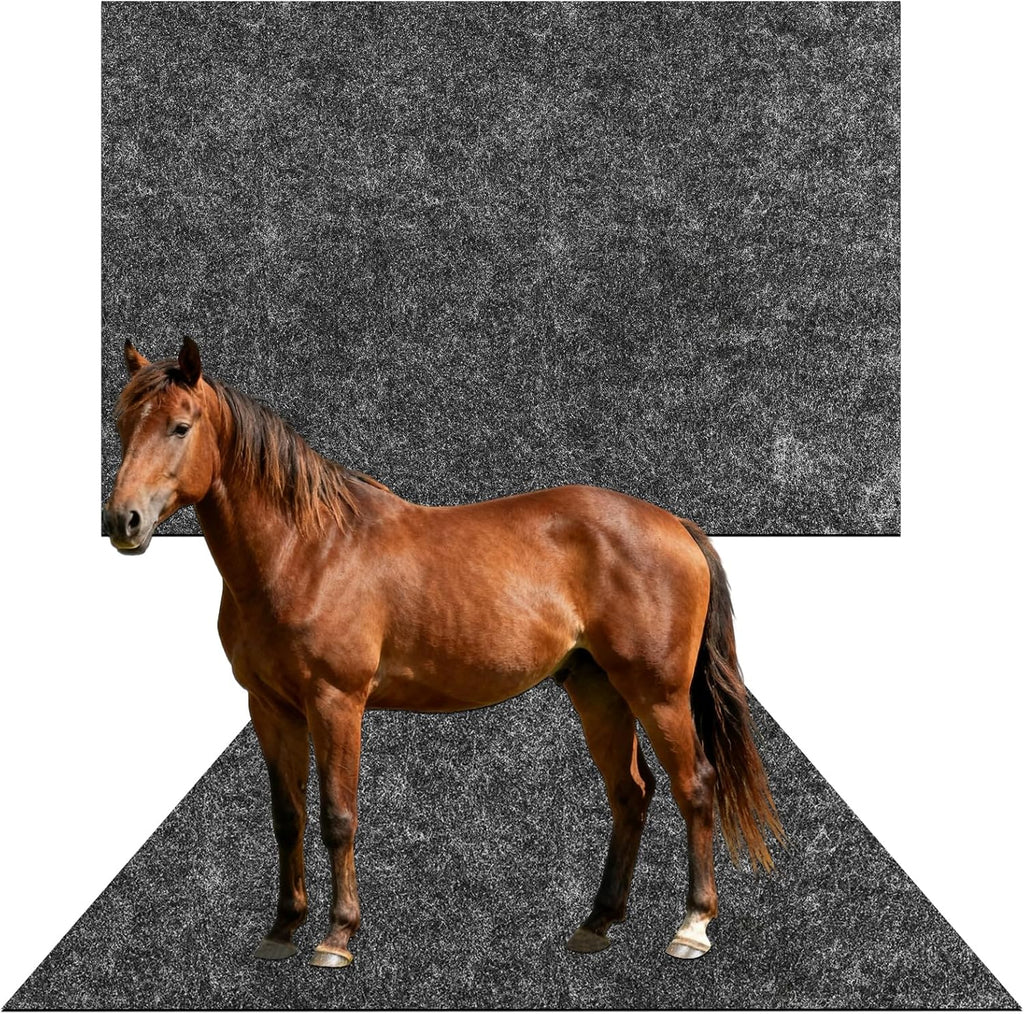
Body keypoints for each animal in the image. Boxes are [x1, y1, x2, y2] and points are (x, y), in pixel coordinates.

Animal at [103, 338, 783, 968]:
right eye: (121, 423)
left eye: (181, 426)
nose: (122, 522)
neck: (305, 549)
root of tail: (674, 525)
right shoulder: (270, 708)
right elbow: (287, 816)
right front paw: (282, 931)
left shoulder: (335, 702)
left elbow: (337, 816)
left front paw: (336, 938)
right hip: (598, 691)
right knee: (631, 793)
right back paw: (597, 923)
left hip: (658, 692)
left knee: (695, 785)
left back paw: (691, 927)